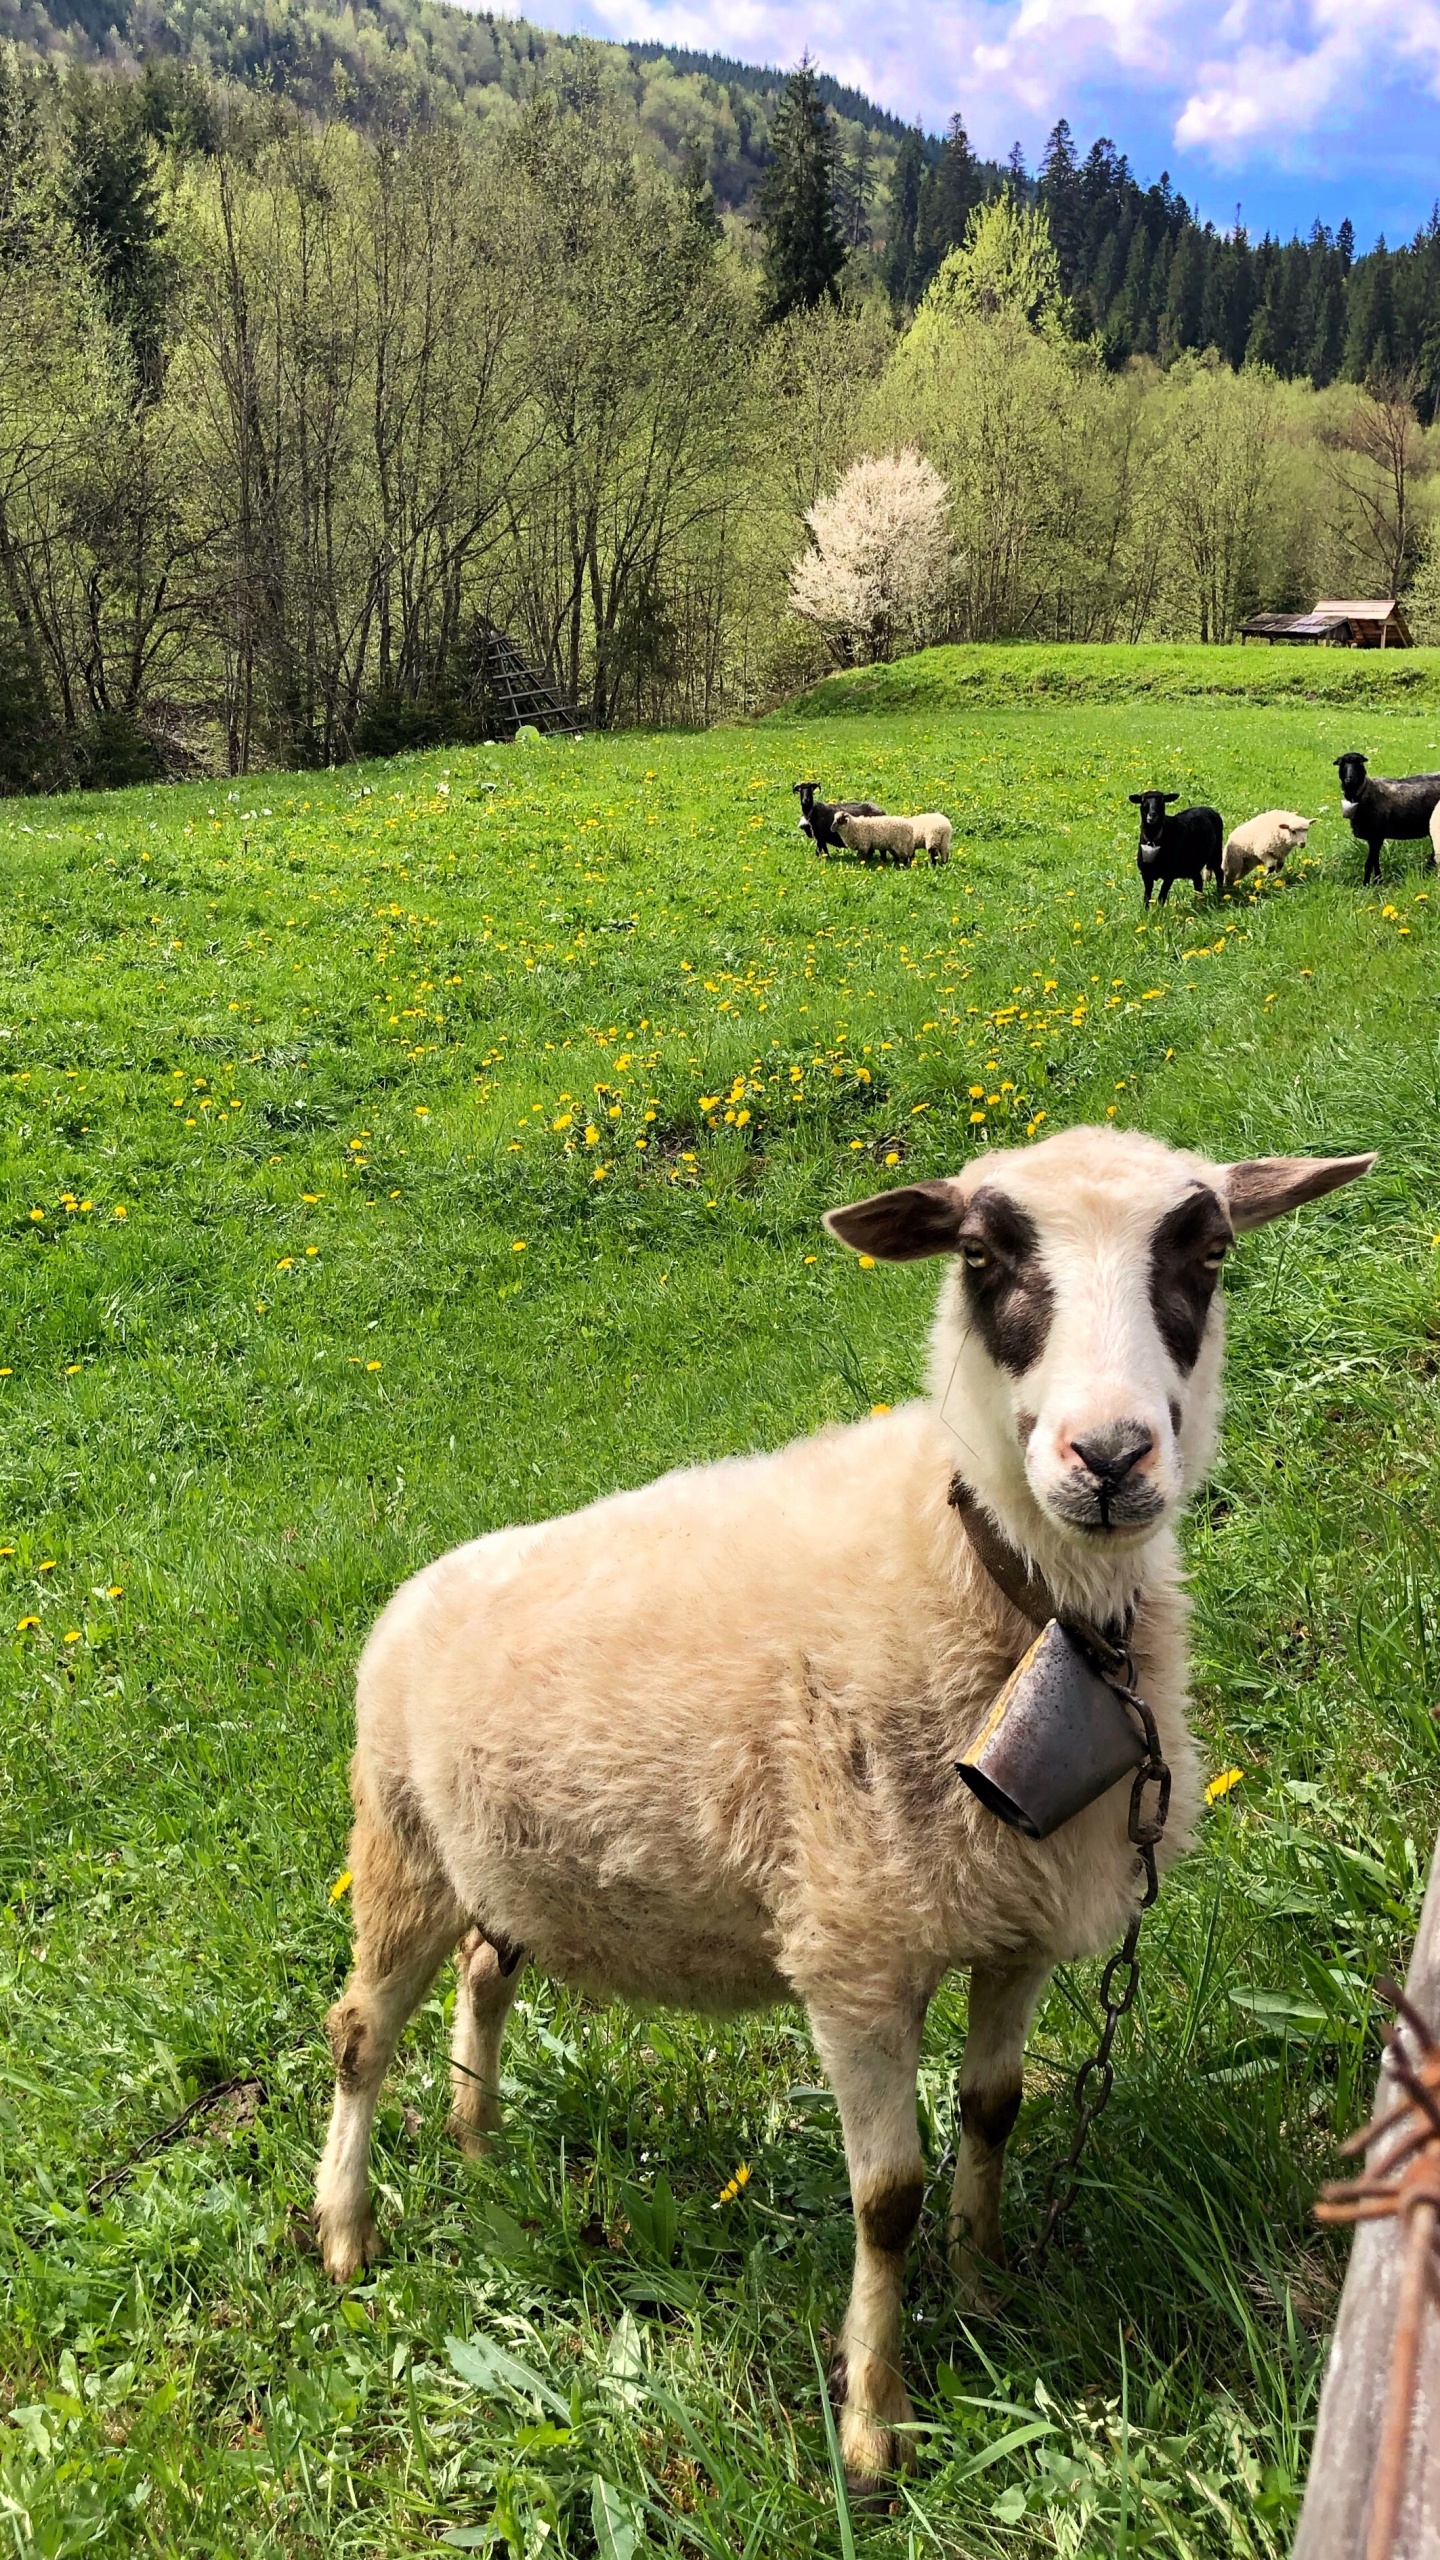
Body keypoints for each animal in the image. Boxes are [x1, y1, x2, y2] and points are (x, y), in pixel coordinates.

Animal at [314, 1124, 1374, 2489]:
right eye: (981, 1257)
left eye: (1209, 1253)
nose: (1110, 1457)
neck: (996, 1579)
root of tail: (415, 1588)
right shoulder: (858, 1954)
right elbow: (887, 2199)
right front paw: (875, 2420)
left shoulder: (1016, 1921)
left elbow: (994, 2111)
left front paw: (981, 2286)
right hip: (397, 1842)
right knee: (358, 2030)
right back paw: (347, 2231)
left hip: (508, 1863)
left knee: (488, 1974)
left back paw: (480, 2142)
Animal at [1335, 751, 1440, 885]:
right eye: (1342, 763)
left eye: (1360, 763)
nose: (1350, 778)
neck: (1364, 793)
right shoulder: (1374, 838)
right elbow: (1375, 861)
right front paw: (1378, 881)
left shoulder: (1376, 836)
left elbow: (1369, 863)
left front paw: (1366, 885)